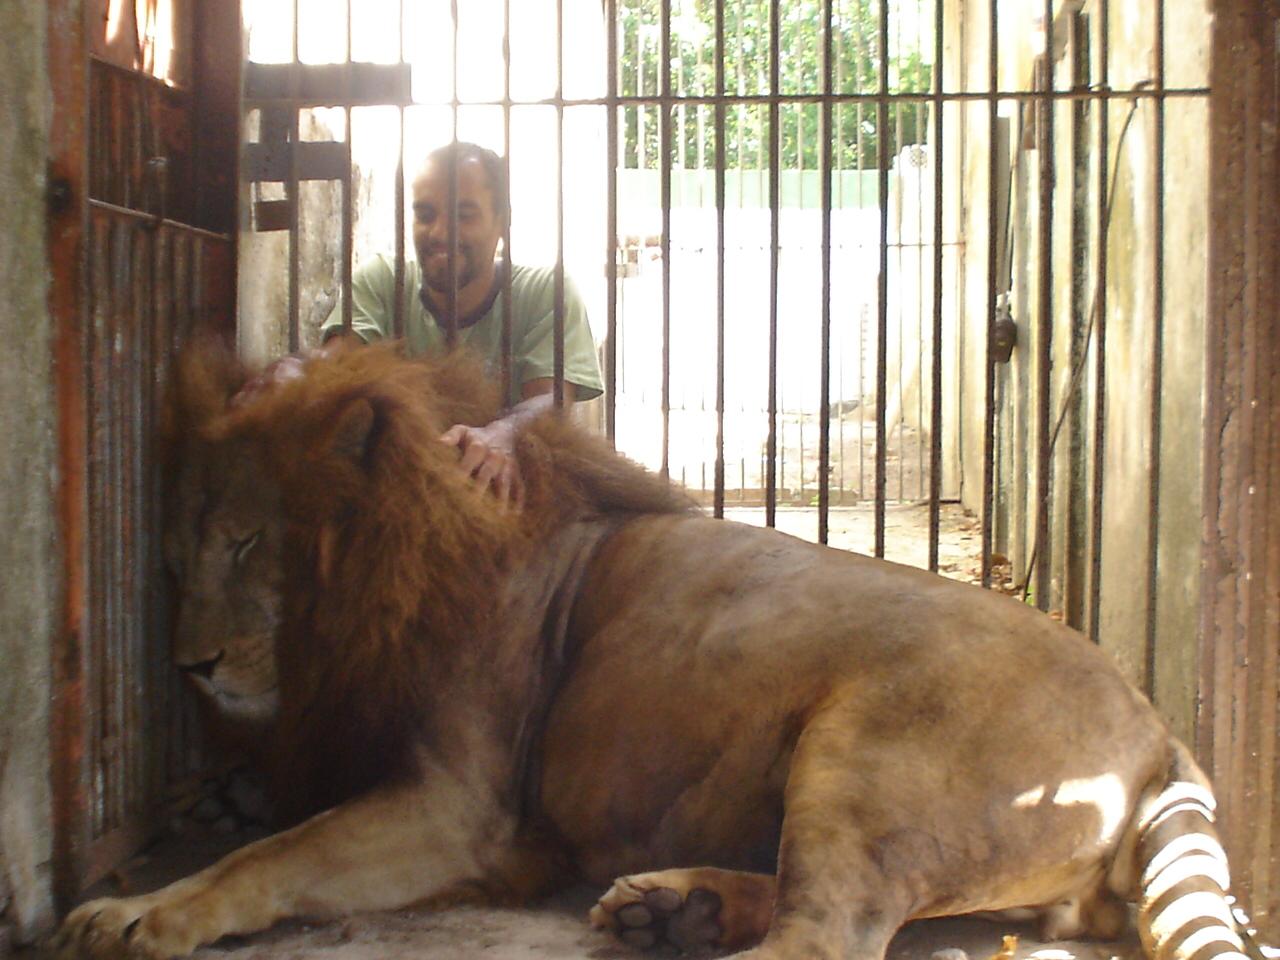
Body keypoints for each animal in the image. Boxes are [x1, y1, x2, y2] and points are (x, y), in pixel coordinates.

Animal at [55, 345, 1254, 960]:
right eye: (173, 562)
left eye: (247, 542)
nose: (190, 667)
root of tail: (1161, 736)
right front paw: (217, 798)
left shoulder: (462, 808)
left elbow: (281, 857)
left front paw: (138, 912)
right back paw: (671, 908)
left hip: (866, 749)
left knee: (830, 936)